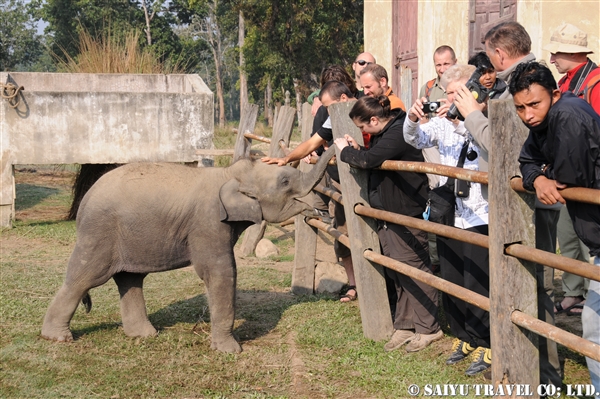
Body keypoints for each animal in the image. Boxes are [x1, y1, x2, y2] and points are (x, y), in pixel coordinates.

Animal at [42, 147, 338, 354]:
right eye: (286, 182)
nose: (322, 210)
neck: (228, 174)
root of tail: (84, 202)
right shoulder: (208, 222)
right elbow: (219, 271)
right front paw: (231, 351)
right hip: (99, 233)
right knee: (84, 277)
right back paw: (57, 338)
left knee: (130, 279)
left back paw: (145, 334)